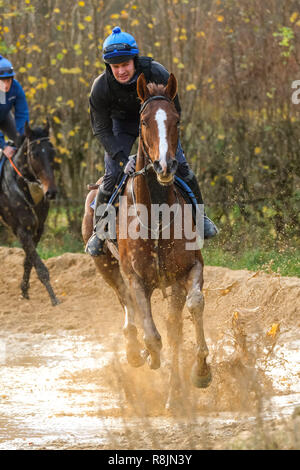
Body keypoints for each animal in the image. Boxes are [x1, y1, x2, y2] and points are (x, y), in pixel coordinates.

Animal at [0, 119, 59, 306]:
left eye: (52, 152)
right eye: (34, 154)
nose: (51, 192)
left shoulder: (37, 229)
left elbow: (29, 261)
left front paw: (24, 291)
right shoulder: (20, 229)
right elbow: (39, 265)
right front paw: (54, 298)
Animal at [82, 75, 211, 406]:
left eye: (176, 119)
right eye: (143, 121)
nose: (165, 166)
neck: (156, 217)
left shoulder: (189, 270)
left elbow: (193, 307)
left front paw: (201, 372)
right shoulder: (136, 277)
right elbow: (152, 334)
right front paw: (149, 354)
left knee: (172, 325)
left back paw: (174, 391)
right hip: (106, 266)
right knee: (127, 303)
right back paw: (135, 351)